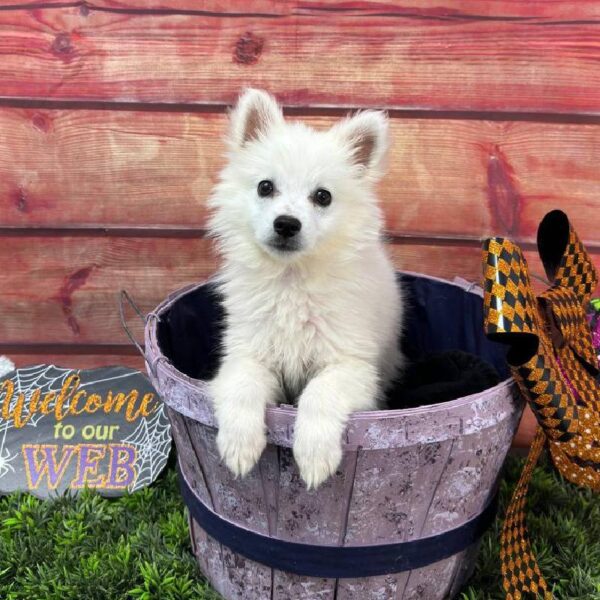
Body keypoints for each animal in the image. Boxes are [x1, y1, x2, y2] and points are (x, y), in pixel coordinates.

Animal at [207, 90, 404, 492]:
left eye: (323, 197)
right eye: (265, 187)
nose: (286, 224)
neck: (291, 280)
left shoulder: (352, 367)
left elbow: (320, 393)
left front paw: (313, 456)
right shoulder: (247, 354)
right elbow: (242, 387)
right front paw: (238, 446)